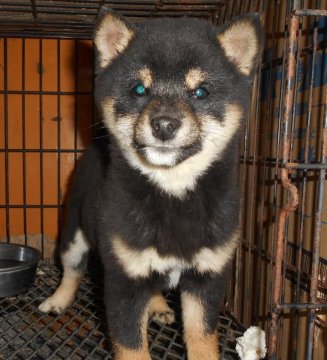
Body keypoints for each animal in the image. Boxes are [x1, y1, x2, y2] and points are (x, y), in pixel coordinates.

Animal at [38, 9, 264, 360]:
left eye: (201, 92)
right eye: (139, 90)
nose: (165, 124)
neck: (173, 192)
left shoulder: (207, 276)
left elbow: (201, 337)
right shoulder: (123, 279)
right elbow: (131, 345)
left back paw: (157, 306)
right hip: (74, 231)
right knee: (72, 270)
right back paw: (57, 301)